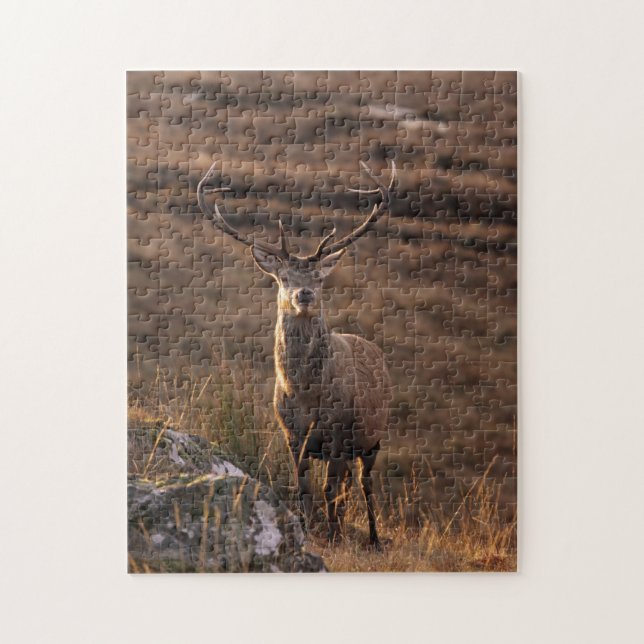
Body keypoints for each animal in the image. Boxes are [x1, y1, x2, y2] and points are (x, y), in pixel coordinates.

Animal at [197, 160, 396, 548]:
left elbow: (329, 489)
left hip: (373, 438)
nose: (304, 294)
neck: (305, 393)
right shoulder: (291, 433)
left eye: (319, 278)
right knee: (346, 486)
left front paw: (333, 536)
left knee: (364, 484)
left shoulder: (339, 433)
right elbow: (304, 487)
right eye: (283, 277)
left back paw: (373, 538)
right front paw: (306, 528)